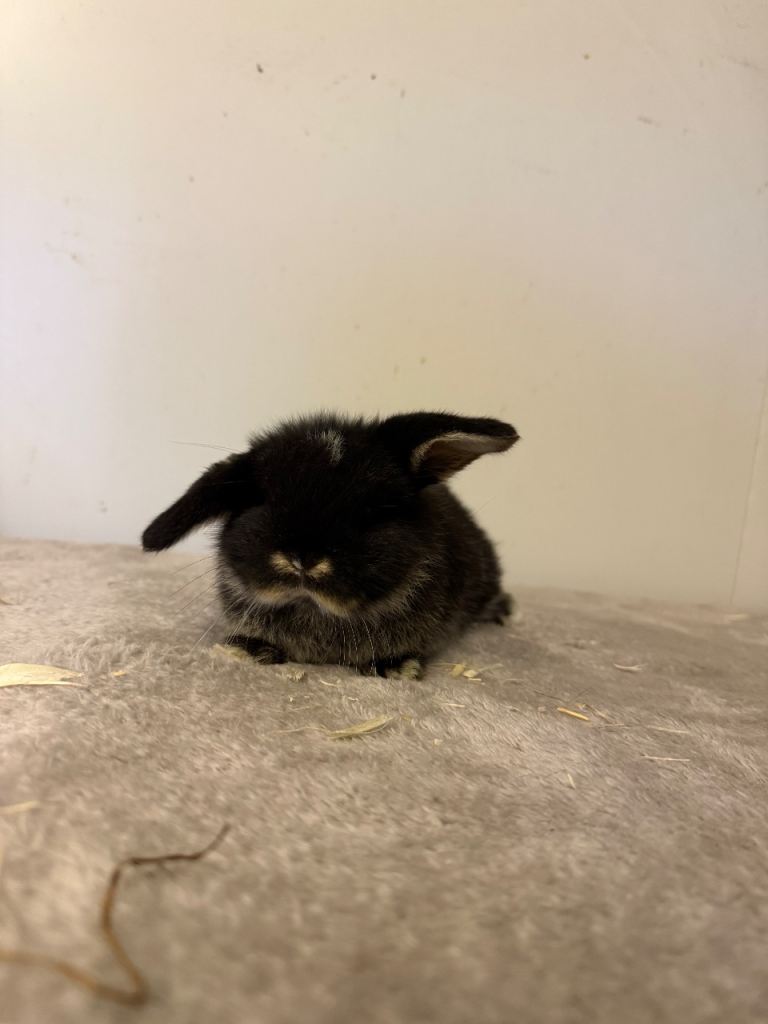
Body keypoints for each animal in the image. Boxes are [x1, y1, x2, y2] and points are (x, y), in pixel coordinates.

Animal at [142, 412, 519, 678]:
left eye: (373, 511)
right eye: (261, 501)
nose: (303, 558)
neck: (314, 612)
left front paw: (395, 668)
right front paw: (247, 649)